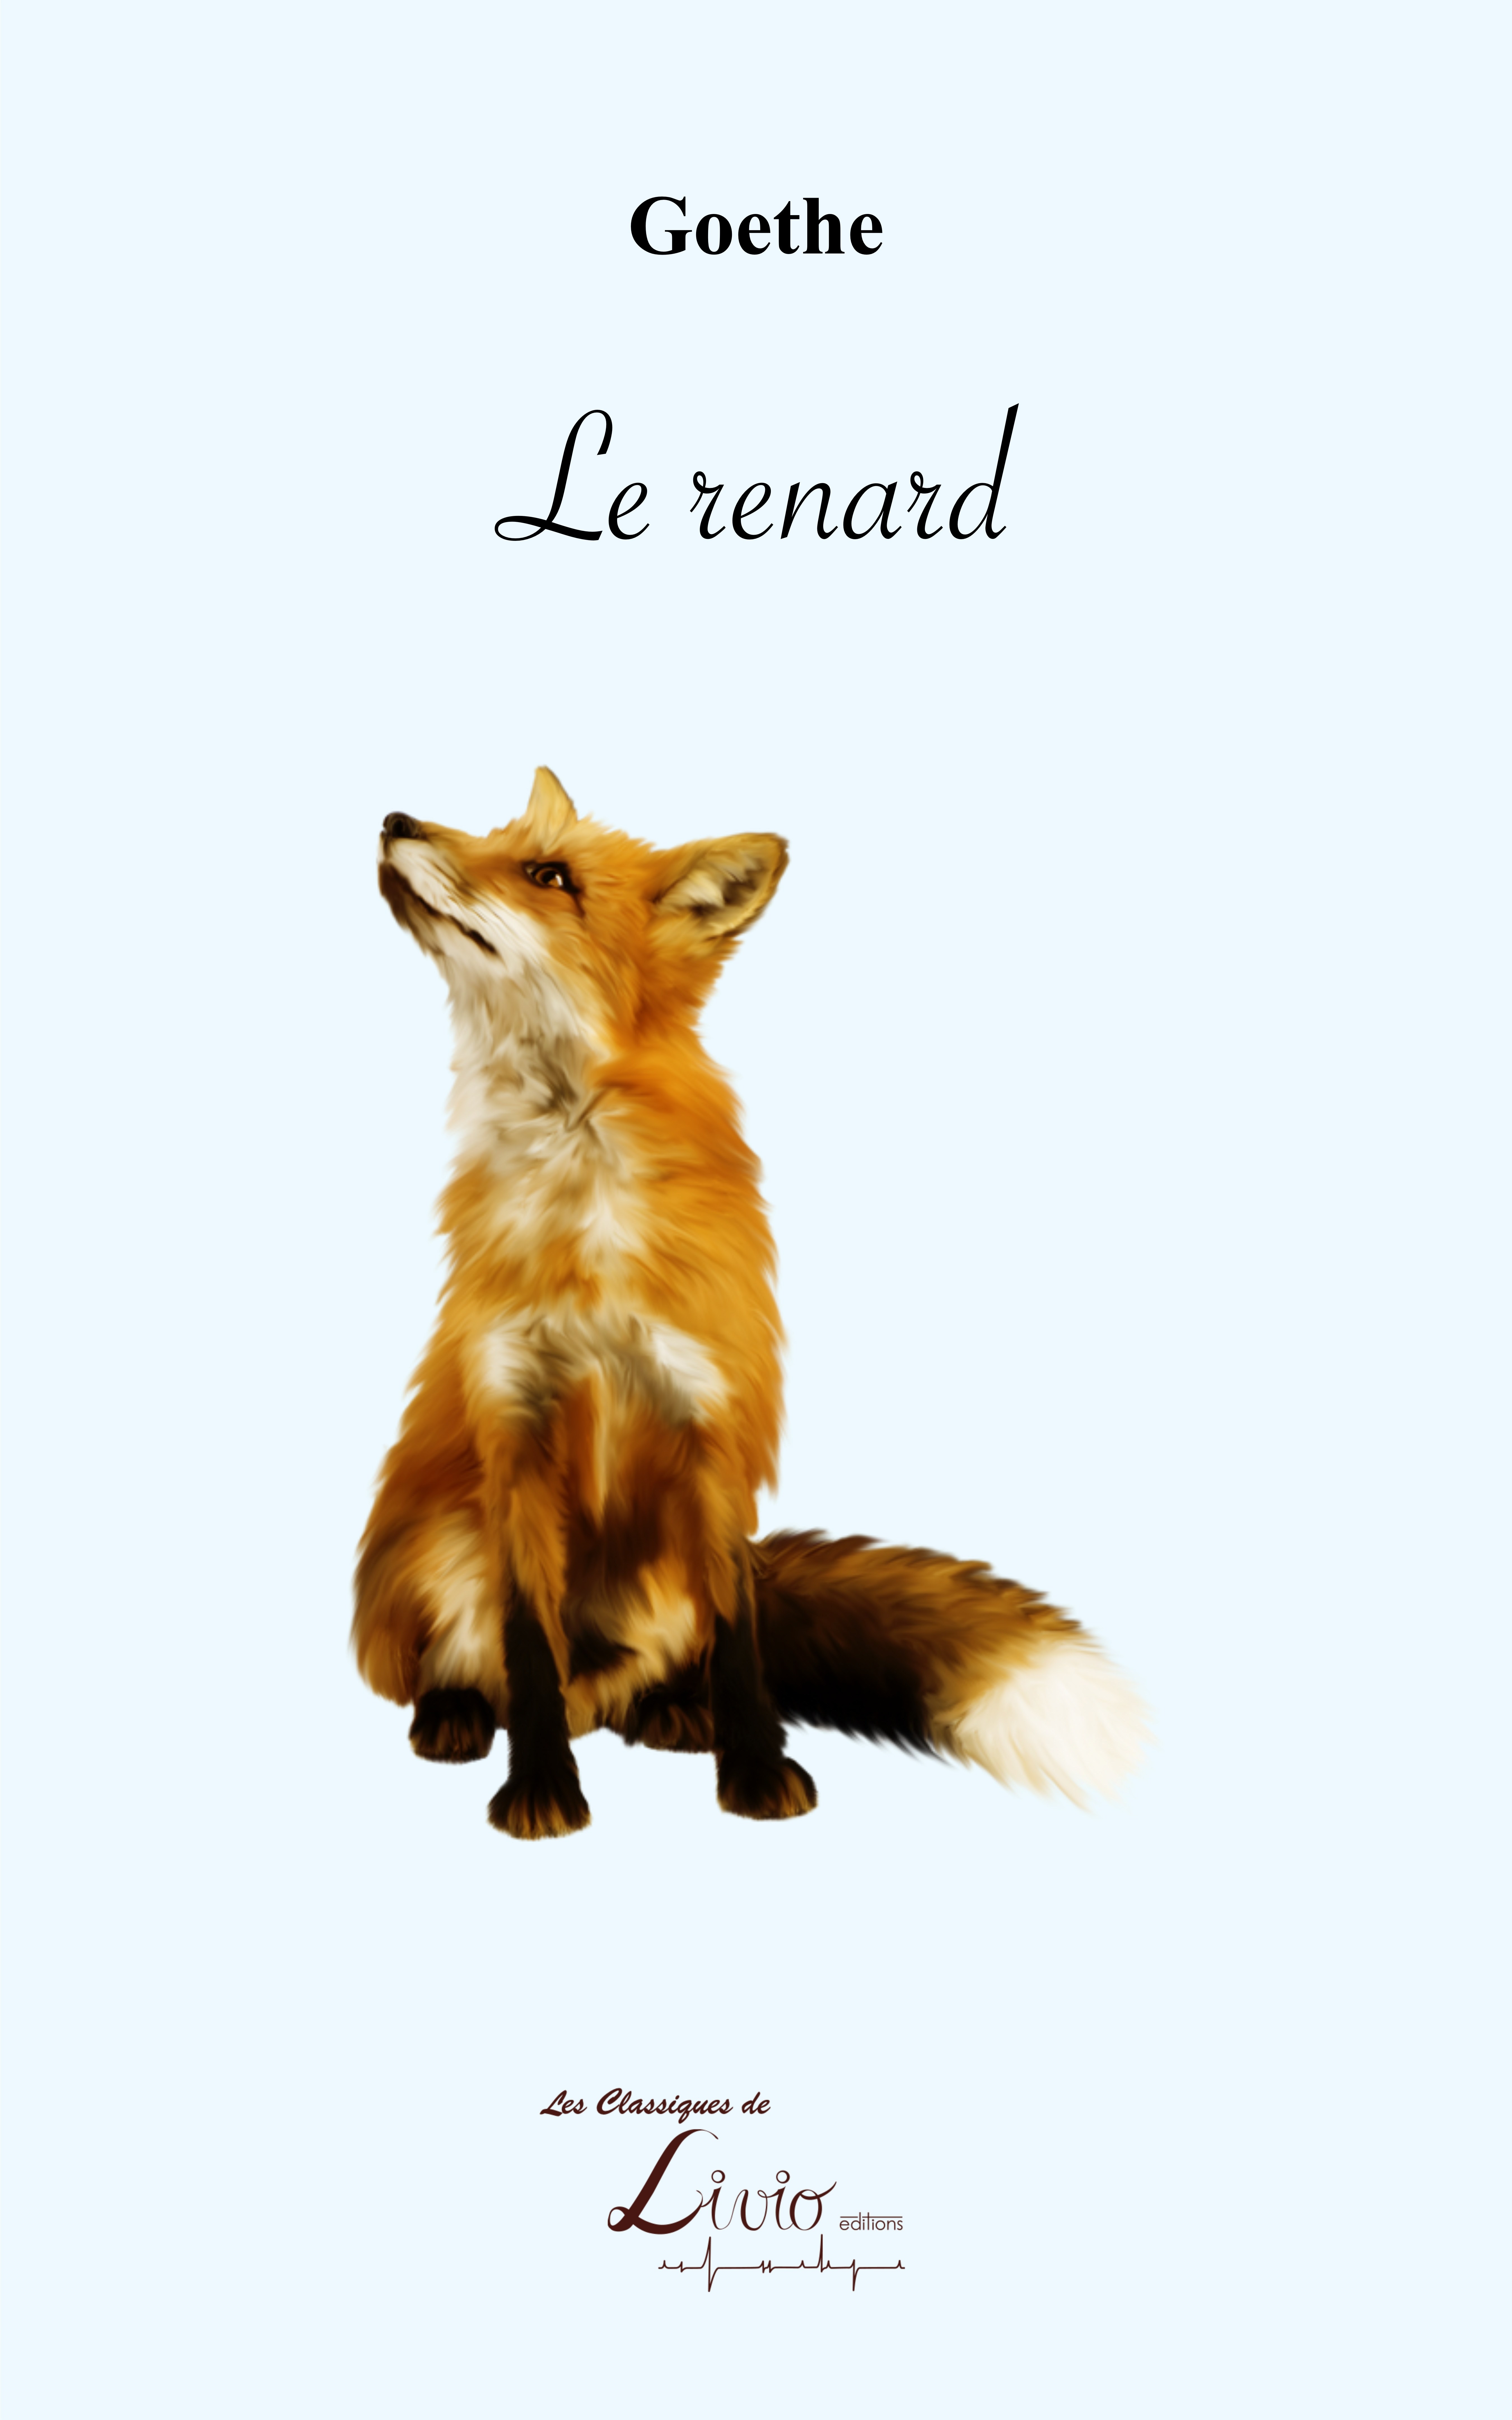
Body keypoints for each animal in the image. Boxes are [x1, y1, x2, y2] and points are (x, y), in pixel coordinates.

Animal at [354, 766, 1149, 1837]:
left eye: (547, 874)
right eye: (494, 836)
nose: (395, 818)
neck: (582, 1198)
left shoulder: (710, 1425)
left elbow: (742, 1642)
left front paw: (758, 1775)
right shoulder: (513, 1423)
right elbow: (527, 1645)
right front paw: (542, 1792)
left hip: (665, 1582)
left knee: (658, 1672)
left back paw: (672, 1712)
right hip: (436, 1549)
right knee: (502, 1677)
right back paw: (455, 1716)